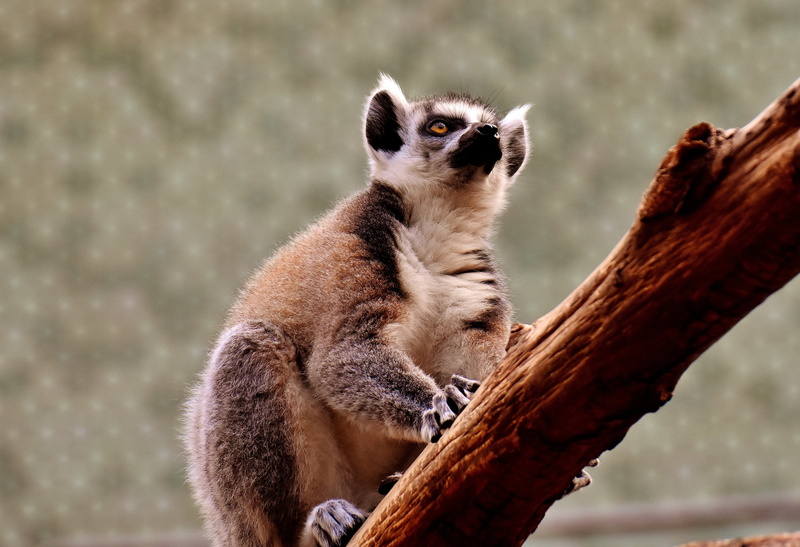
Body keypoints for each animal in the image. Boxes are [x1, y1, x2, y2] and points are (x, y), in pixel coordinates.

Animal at [184, 74, 531, 547]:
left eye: (489, 126)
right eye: (440, 126)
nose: (488, 134)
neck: (436, 230)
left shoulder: (473, 291)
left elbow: (478, 367)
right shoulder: (357, 254)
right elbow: (341, 358)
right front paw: (440, 403)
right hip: (236, 498)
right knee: (250, 345)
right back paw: (314, 524)